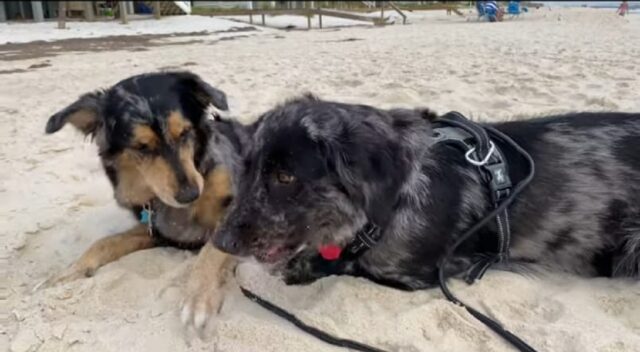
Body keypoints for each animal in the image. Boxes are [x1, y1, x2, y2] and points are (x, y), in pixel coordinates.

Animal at [42, 72, 250, 330]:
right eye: (141, 147)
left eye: (185, 133)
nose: (190, 194)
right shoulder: (157, 231)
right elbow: (105, 241)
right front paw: (72, 270)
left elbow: (211, 251)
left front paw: (198, 297)